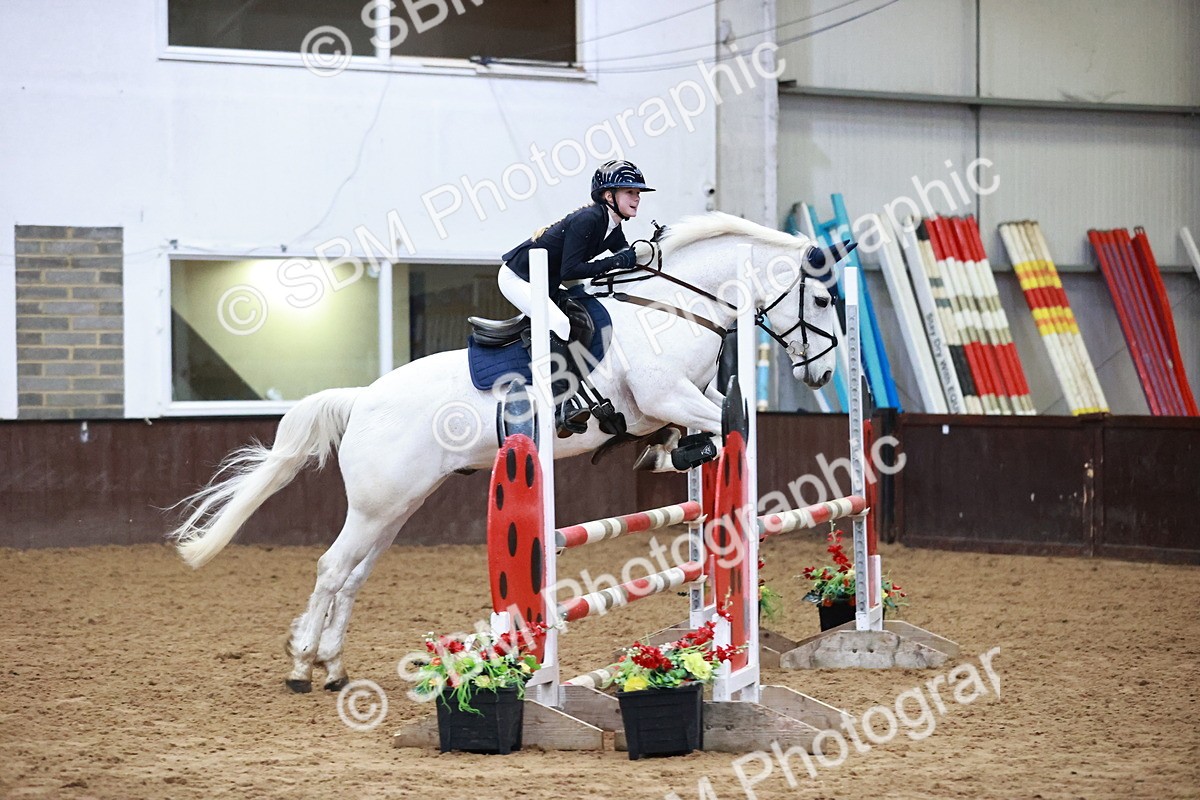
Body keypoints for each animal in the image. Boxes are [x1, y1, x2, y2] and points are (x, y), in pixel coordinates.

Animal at [169, 212, 840, 692]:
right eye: (822, 300)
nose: (824, 374)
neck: (674, 307)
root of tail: (362, 399)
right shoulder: (663, 397)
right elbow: (721, 425)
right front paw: (692, 452)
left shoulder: (674, 402)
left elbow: (710, 424)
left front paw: (679, 454)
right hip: (376, 504)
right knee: (333, 568)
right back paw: (302, 665)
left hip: (396, 507)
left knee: (354, 574)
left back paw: (333, 666)